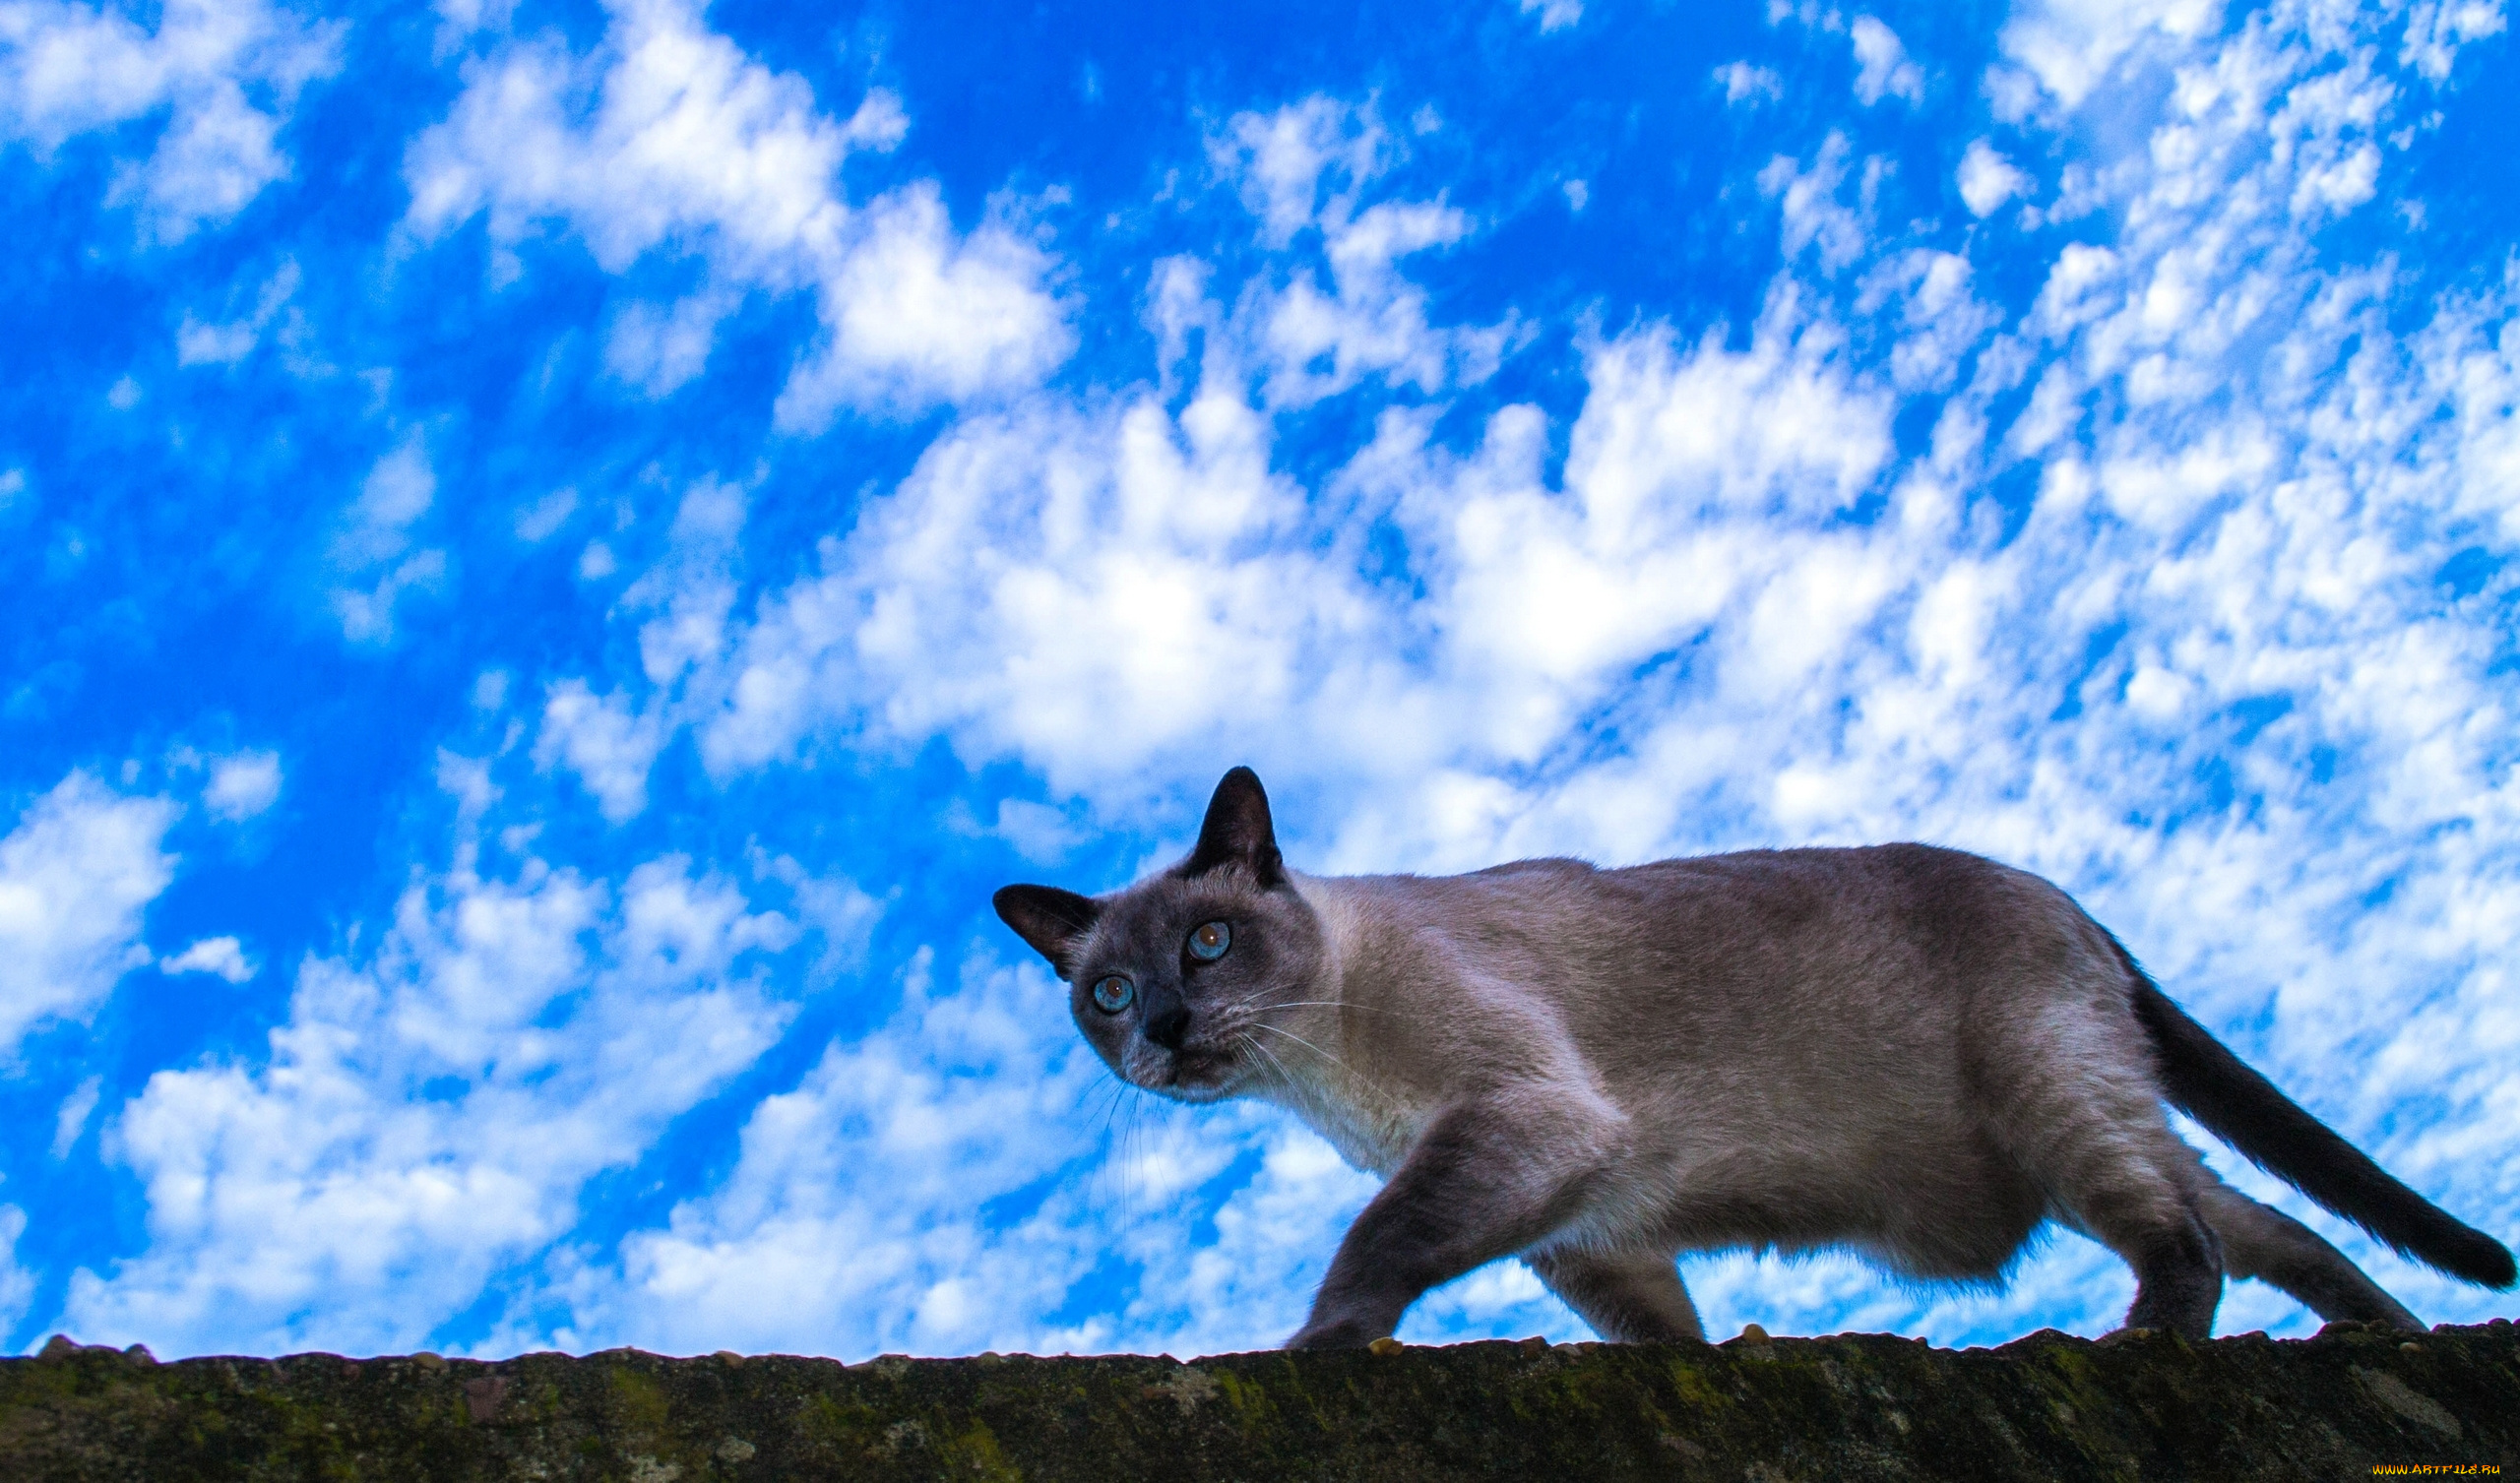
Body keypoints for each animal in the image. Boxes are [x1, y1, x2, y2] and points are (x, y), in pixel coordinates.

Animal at [992, 770, 2509, 1349]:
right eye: (1109, 990)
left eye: (1207, 944)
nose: (1163, 1031)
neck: (1329, 1084)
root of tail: (2071, 899)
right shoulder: (1591, 1226)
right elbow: (1663, 1336)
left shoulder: (1528, 1123)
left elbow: (1375, 1250)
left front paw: (1314, 1347)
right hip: (2084, 1102)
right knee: (2274, 1223)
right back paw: (2383, 1330)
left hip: (2047, 1095)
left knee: (2190, 1233)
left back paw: (2143, 1346)